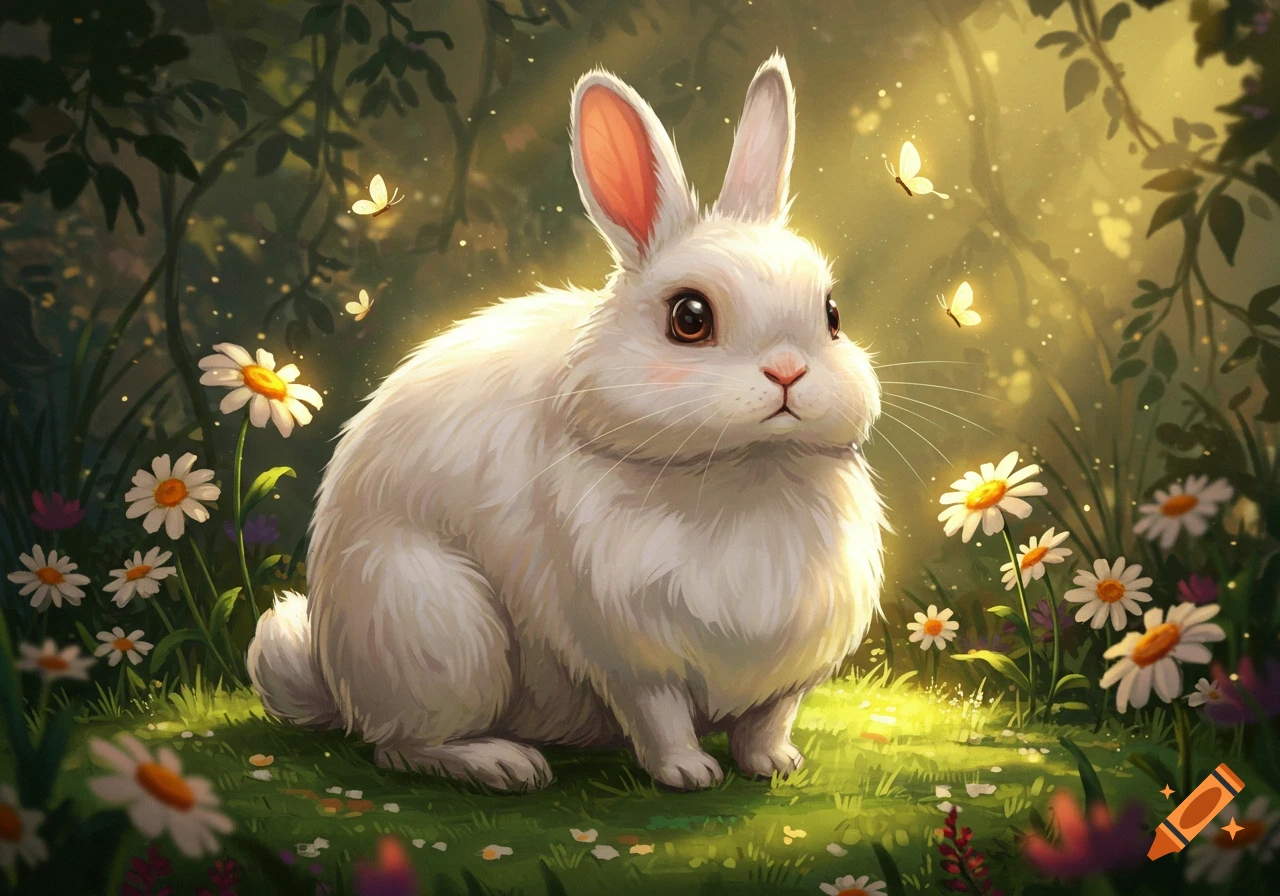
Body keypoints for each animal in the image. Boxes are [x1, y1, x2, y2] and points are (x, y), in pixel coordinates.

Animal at [247, 52, 886, 792]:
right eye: (689, 318)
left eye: (832, 315)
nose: (788, 371)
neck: (746, 473)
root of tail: (336, 674)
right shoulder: (628, 655)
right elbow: (660, 717)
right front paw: (688, 773)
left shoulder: (788, 669)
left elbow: (770, 719)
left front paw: (775, 765)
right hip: (442, 631)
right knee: (398, 747)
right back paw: (504, 763)